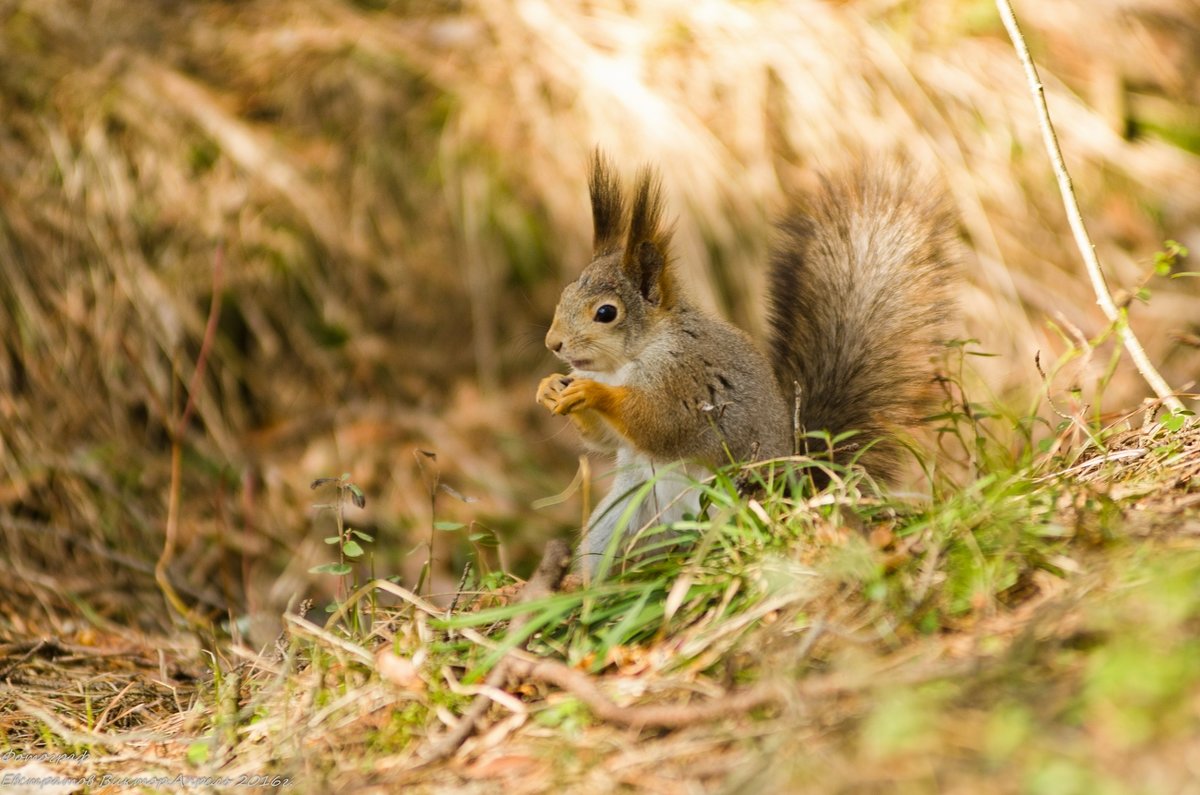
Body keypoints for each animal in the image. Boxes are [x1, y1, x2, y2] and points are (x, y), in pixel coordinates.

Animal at [535, 151, 955, 574]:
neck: (626, 360)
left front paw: (593, 393)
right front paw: (549, 388)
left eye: (606, 313)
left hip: (733, 506)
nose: (553, 343)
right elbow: (604, 438)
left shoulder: (685, 378)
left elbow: (659, 423)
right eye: (565, 294)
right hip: (618, 522)